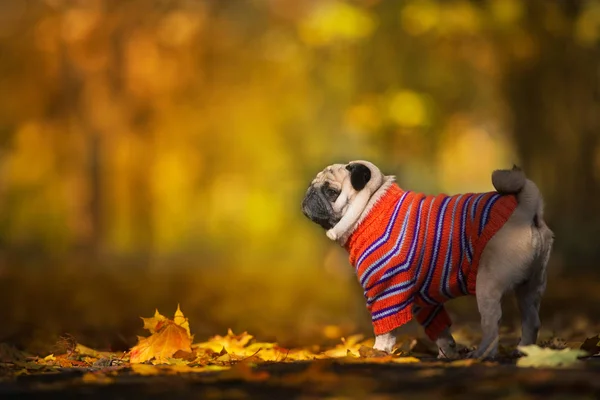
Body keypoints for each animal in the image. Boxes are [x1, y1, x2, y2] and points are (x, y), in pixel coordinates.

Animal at [302, 160, 556, 360]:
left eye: (331, 192)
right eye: (312, 186)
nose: (309, 195)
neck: (370, 207)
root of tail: (525, 211)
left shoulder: (384, 289)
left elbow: (385, 327)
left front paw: (379, 352)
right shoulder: (423, 298)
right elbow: (439, 328)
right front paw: (449, 353)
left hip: (488, 284)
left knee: (492, 324)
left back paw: (483, 354)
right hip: (531, 287)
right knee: (531, 321)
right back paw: (523, 351)